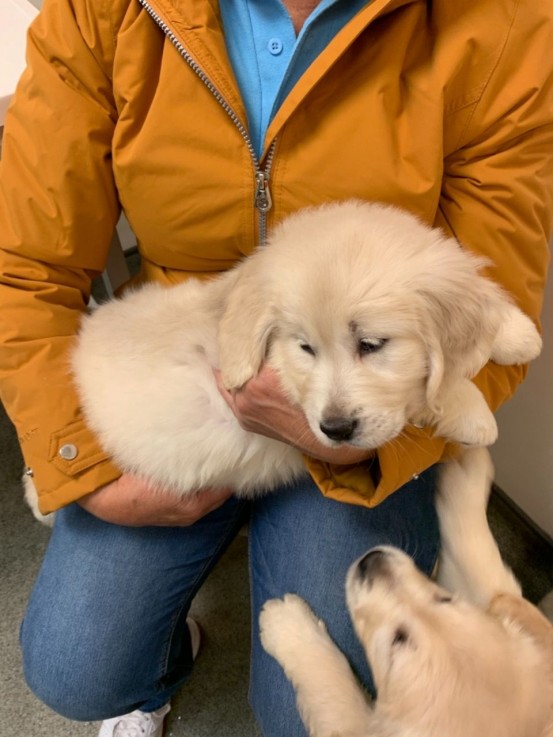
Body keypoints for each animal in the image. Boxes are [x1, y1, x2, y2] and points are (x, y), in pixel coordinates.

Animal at [260, 448, 552, 736]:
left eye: (396, 641)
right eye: (444, 599)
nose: (371, 561)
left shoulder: (362, 725)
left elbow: (337, 695)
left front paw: (287, 625)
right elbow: (481, 561)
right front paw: (467, 466)